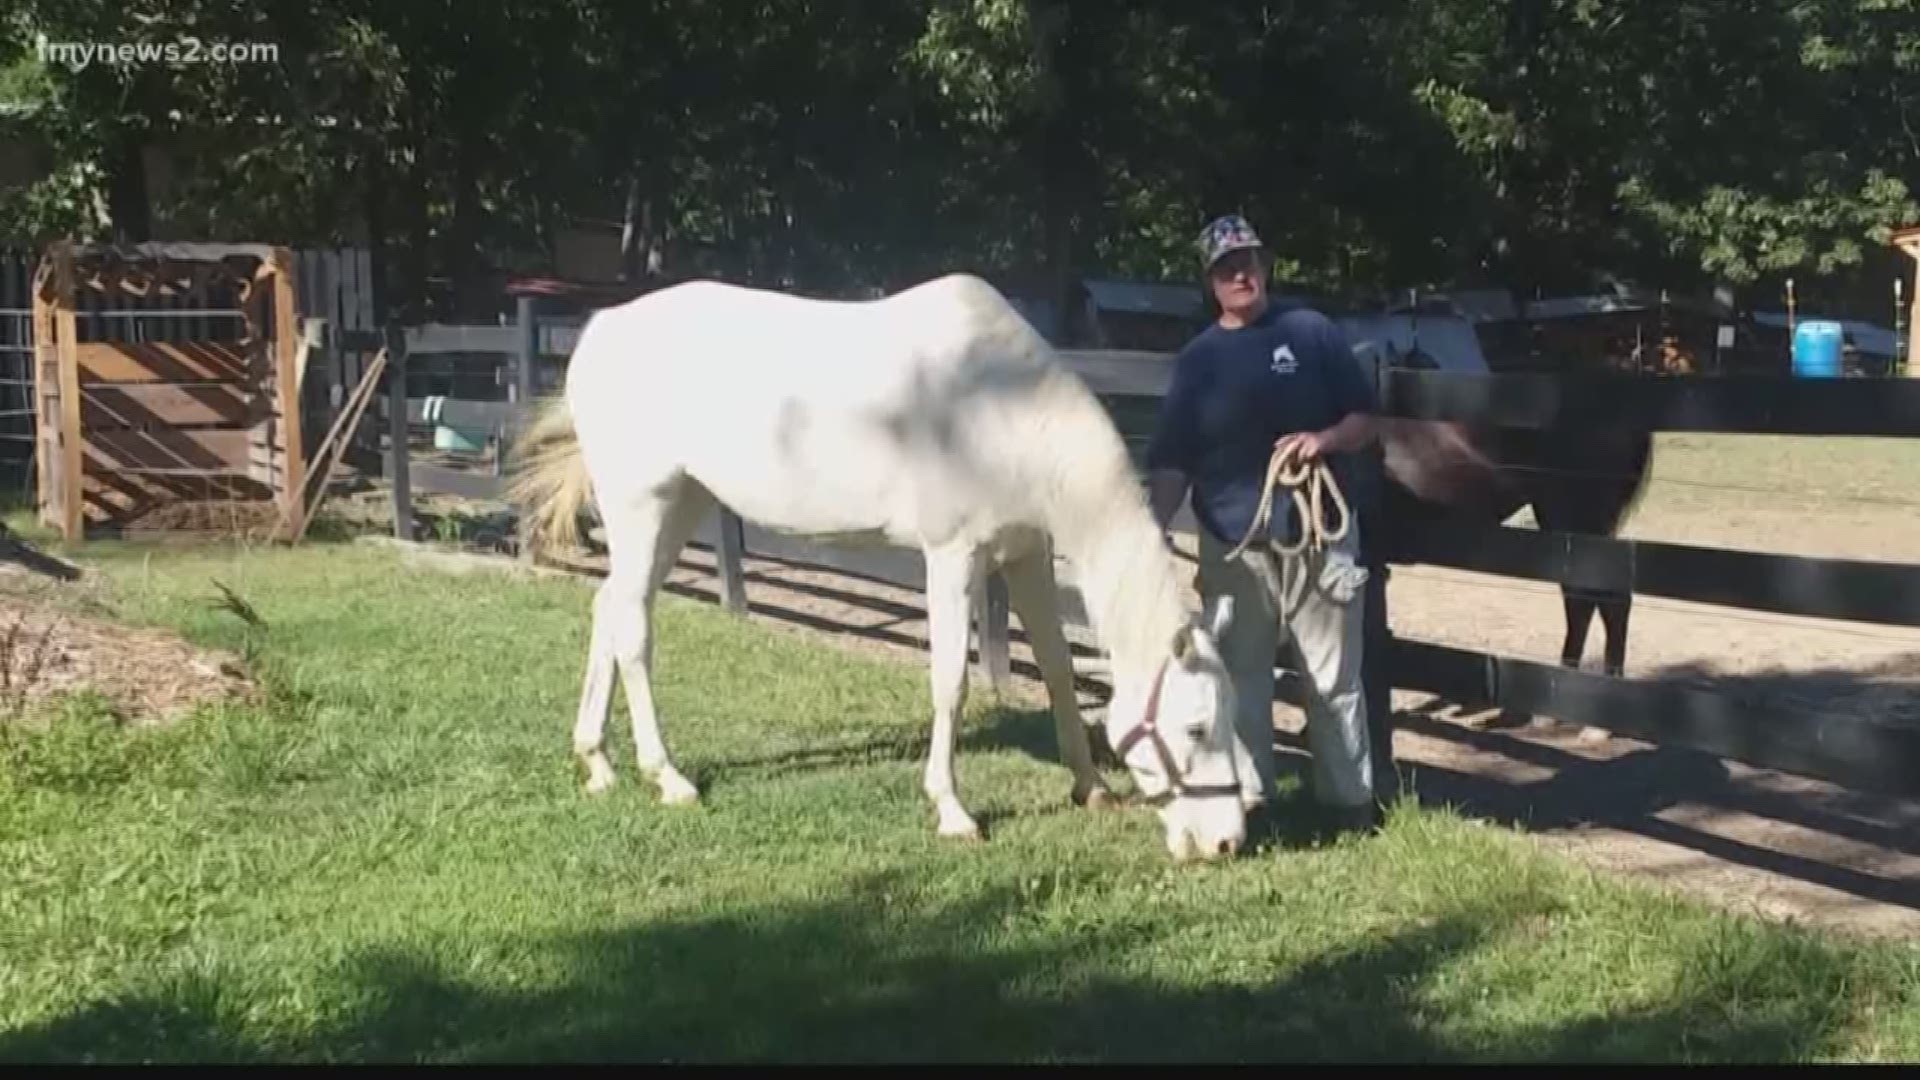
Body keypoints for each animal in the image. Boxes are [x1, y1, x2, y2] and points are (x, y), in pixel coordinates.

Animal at [514, 272, 1259, 860]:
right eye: (1196, 727)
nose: (1225, 842)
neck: (1004, 412)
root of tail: (599, 330)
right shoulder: (953, 558)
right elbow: (950, 683)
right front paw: (953, 811)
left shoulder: (1027, 554)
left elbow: (1056, 669)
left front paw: (1093, 788)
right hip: (642, 506)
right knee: (635, 633)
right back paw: (667, 777)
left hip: (682, 505)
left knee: (611, 609)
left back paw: (599, 763)